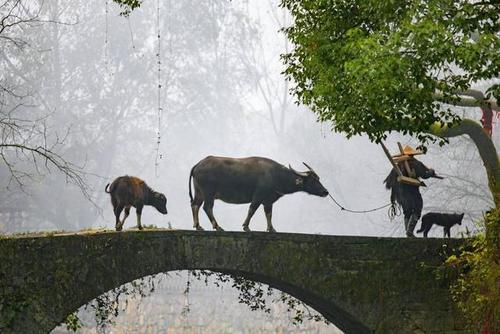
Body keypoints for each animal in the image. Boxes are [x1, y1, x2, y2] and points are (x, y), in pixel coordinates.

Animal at [188, 156, 328, 232]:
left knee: (195, 205)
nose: (325, 192)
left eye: (318, 178)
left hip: (199, 193)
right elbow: (252, 209)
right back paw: (217, 227)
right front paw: (246, 226)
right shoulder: (258, 196)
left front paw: (271, 229)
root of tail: (198, 164)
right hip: (209, 193)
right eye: (313, 180)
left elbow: (269, 214)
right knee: (207, 207)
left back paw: (198, 226)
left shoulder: (268, 201)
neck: (276, 175)